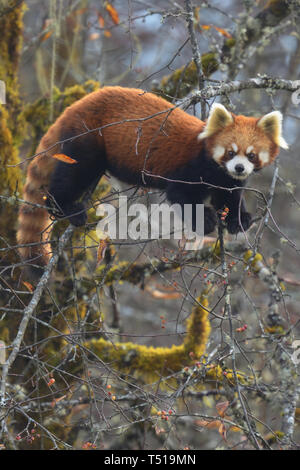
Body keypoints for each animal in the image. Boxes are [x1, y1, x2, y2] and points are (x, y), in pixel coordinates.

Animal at [17, 86, 288, 270]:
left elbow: (229, 197)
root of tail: (75, 106)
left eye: (251, 155)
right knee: (73, 175)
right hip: (88, 138)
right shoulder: (190, 169)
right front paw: (206, 219)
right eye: (230, 152)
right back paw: (65, 207)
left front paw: (238, 219)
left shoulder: (226, 179)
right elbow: (181, 195)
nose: (239, 167)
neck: (216, 169)